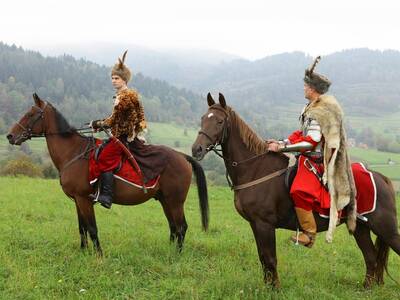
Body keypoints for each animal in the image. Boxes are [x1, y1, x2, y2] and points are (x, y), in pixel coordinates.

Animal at [7, 94, 209, 255]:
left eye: (31, 114)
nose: (10, 136)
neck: (73, 152)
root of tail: (182, 156)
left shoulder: (84, 199)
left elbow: (92, 228)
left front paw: (98, 255)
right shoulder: (78, 200)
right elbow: (82, 228)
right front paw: (83, 252)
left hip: (175, 201)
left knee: (181, 227)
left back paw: (177, 255)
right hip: (165, 200)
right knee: (173, 227)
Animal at [192, 92, 398, 288]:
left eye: (219, 121)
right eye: (202, 118)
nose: (197, 149)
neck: (255, 168)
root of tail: (381, 178)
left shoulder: (264, 224)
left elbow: (270, 259)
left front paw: (275, 289)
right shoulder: (255, 224)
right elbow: (263, 258)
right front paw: (268, 287)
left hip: (385, 227)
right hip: (360, 228)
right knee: (371, 258)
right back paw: (366, 289)